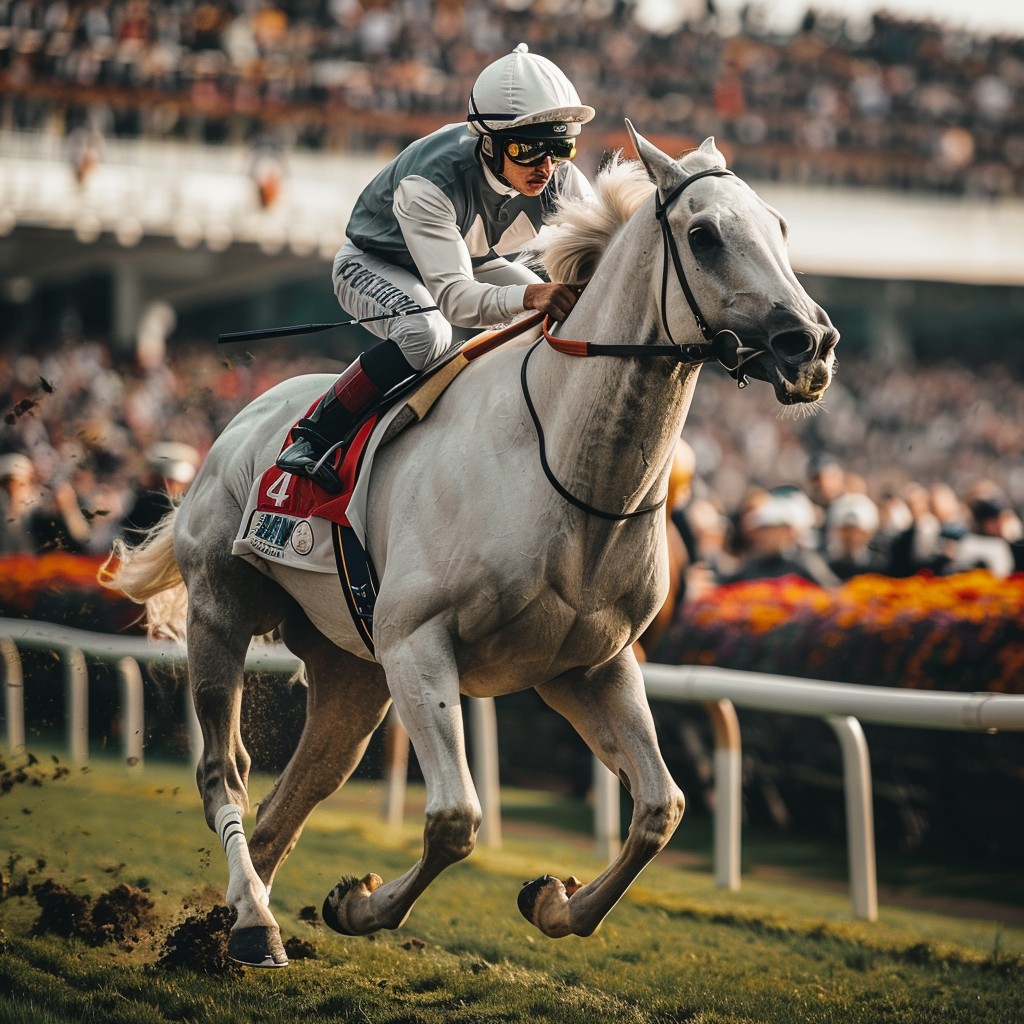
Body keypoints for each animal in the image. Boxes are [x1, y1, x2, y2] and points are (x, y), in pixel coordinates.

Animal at [103, 122, 838, 969]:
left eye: (779, 226)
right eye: (705, 235)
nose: (812, 344)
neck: (566, 467)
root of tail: (237, 426)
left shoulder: (590, 664)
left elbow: (661, 806)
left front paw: (552, 901)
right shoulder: (419, 642)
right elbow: (455, 820)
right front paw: (359, 905)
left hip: (354, 668)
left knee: (301, 789)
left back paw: (232, 919)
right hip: (223, 610)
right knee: (226, 772)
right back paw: (254, 923)